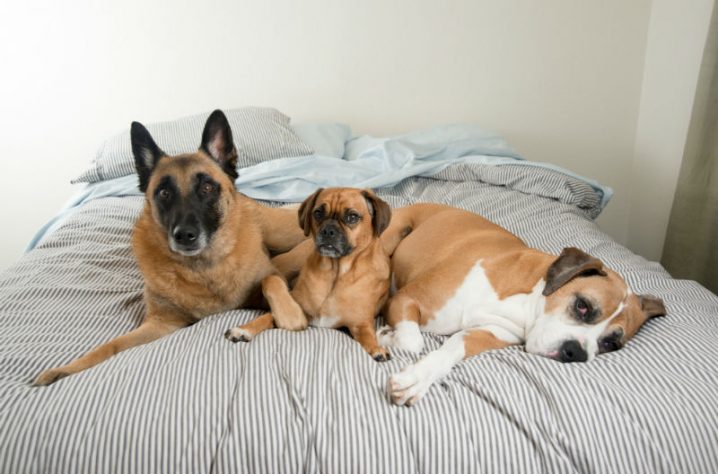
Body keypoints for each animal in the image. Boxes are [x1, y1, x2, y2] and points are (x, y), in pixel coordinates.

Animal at [33, 108, 306, 386]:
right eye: (164, 193)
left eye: (207, 187)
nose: (184, 235)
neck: (202, 269)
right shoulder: (160, 324)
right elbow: (111, 345)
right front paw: (65, 369)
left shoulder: (267, 284)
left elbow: (271, 281)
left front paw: (288, 314)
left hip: (282, 236)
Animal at [226, 187, 404, 362]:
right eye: (318, 213)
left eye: (352, 217)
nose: (328, 230)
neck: (335, 274)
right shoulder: (299, 310)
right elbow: (266, 317)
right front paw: (244, 329)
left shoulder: (361, 324)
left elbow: (368, 336)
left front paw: (376, 348)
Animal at [380, 202, 668, 406]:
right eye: (583, 306)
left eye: (610, 344)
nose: (576, 353)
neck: (526, 300)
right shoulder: (406, 298)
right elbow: (412, 341)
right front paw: (385, 336)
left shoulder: (484, 334)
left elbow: (448, 350)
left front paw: (417, 379)